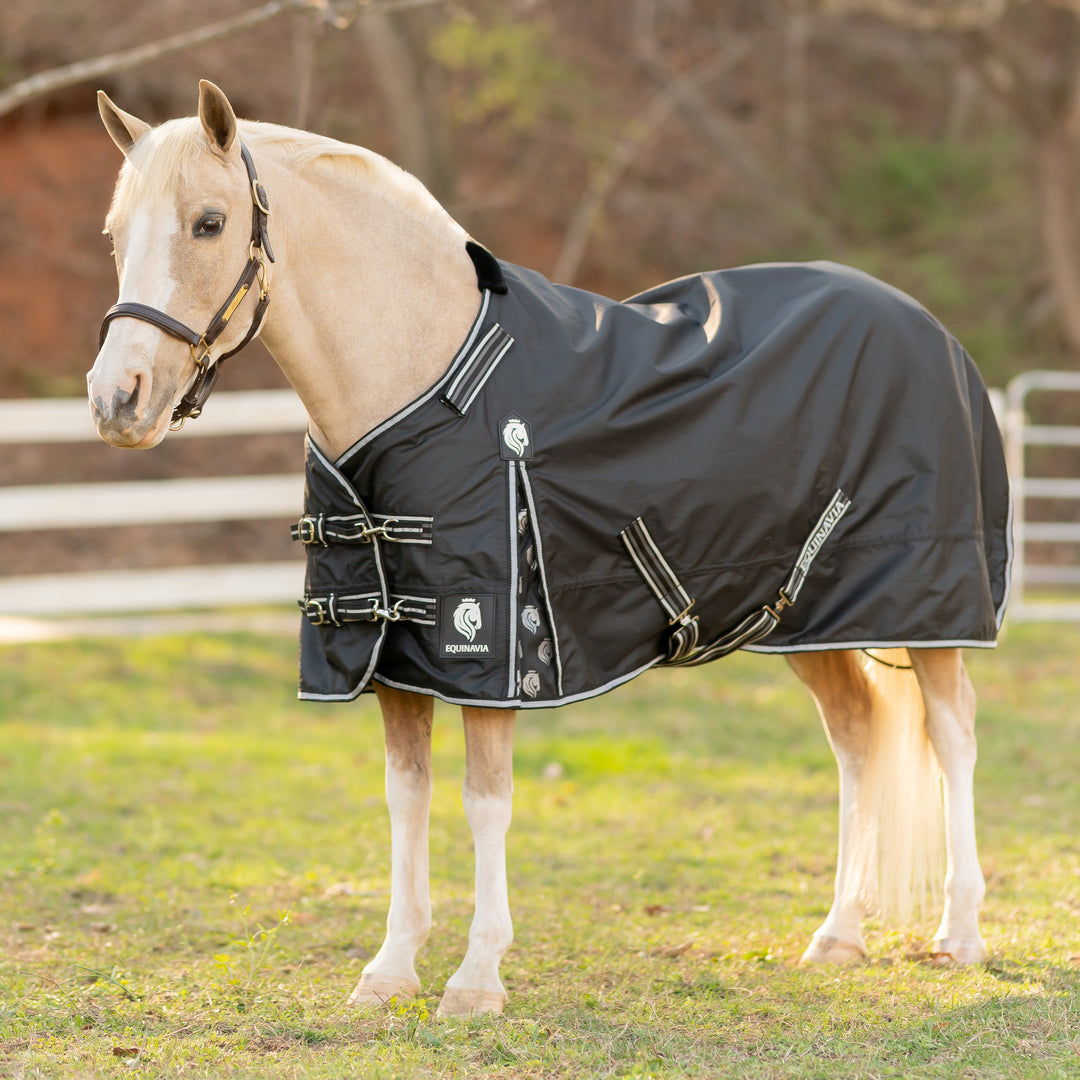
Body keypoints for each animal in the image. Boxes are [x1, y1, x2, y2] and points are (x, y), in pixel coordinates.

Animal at [88, 81, 1007, 1018]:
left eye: (208, 222)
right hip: (803, 620)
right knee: (858, 738)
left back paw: (960, 934)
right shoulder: (396, 659)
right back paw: (838, 936)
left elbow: (485, 802)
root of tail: (929, 329)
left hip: (930, 608)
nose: (116, 400)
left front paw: (476, 977)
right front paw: (391, 968)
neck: (433, 382)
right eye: (115, 235)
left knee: (953, 735)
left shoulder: (490, 651)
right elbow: (405, 798)